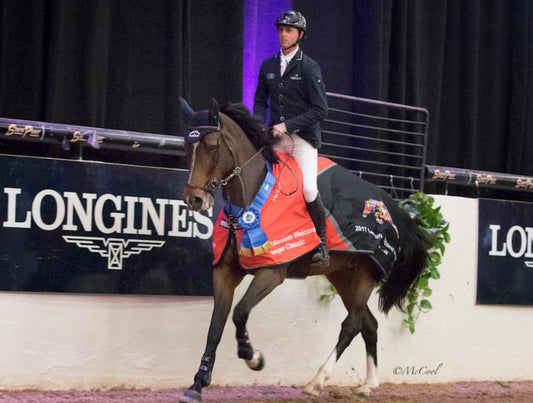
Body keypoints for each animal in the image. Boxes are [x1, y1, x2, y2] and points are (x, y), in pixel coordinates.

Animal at [179, 98, 432, 403]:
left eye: (213, 146)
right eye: (186, 145)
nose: (194, 199)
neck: (250, 203)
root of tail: (390, 205)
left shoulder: (272, 272)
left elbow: (240, 312)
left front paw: (253, 357)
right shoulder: (225, 272)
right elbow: (215, 326)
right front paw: (197, 383)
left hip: (365, 276)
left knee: (352, 325)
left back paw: (317, 381)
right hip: (343, 277)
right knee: (369, 325)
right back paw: (367, 385)